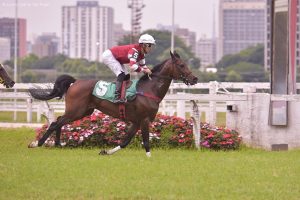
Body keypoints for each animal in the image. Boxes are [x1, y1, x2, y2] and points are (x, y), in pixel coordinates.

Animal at [27, 51, 197, 156]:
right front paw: (150, 158)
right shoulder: (144, 120)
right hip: (76, 111)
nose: (194, 79)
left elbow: (125, 141)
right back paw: (38, 143)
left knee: (58, 121)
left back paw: (57, 144)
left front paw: (105, 152)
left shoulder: (136, 121)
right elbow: (146, 141)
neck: (149, 89)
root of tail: (75, 82)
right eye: (181, 65)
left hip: (83, 112)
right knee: (56, 122)